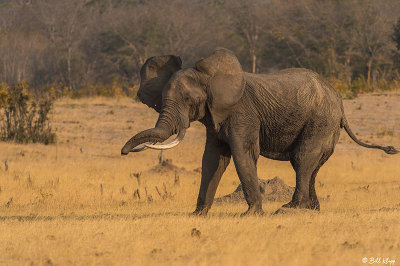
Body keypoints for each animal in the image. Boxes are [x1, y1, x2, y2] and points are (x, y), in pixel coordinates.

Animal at [120, 47, 398, 214]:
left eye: (189, 101)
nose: (124, 152)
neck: (211, 76)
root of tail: (340, 102)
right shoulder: (216, 116)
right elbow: (213, 159)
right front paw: (198, 215)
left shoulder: (241, 113)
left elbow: (242, 153)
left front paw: (250, 214)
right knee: (312, 165)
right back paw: (312, 209)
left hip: (321, 120)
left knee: (302, 159)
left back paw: (289, 209)